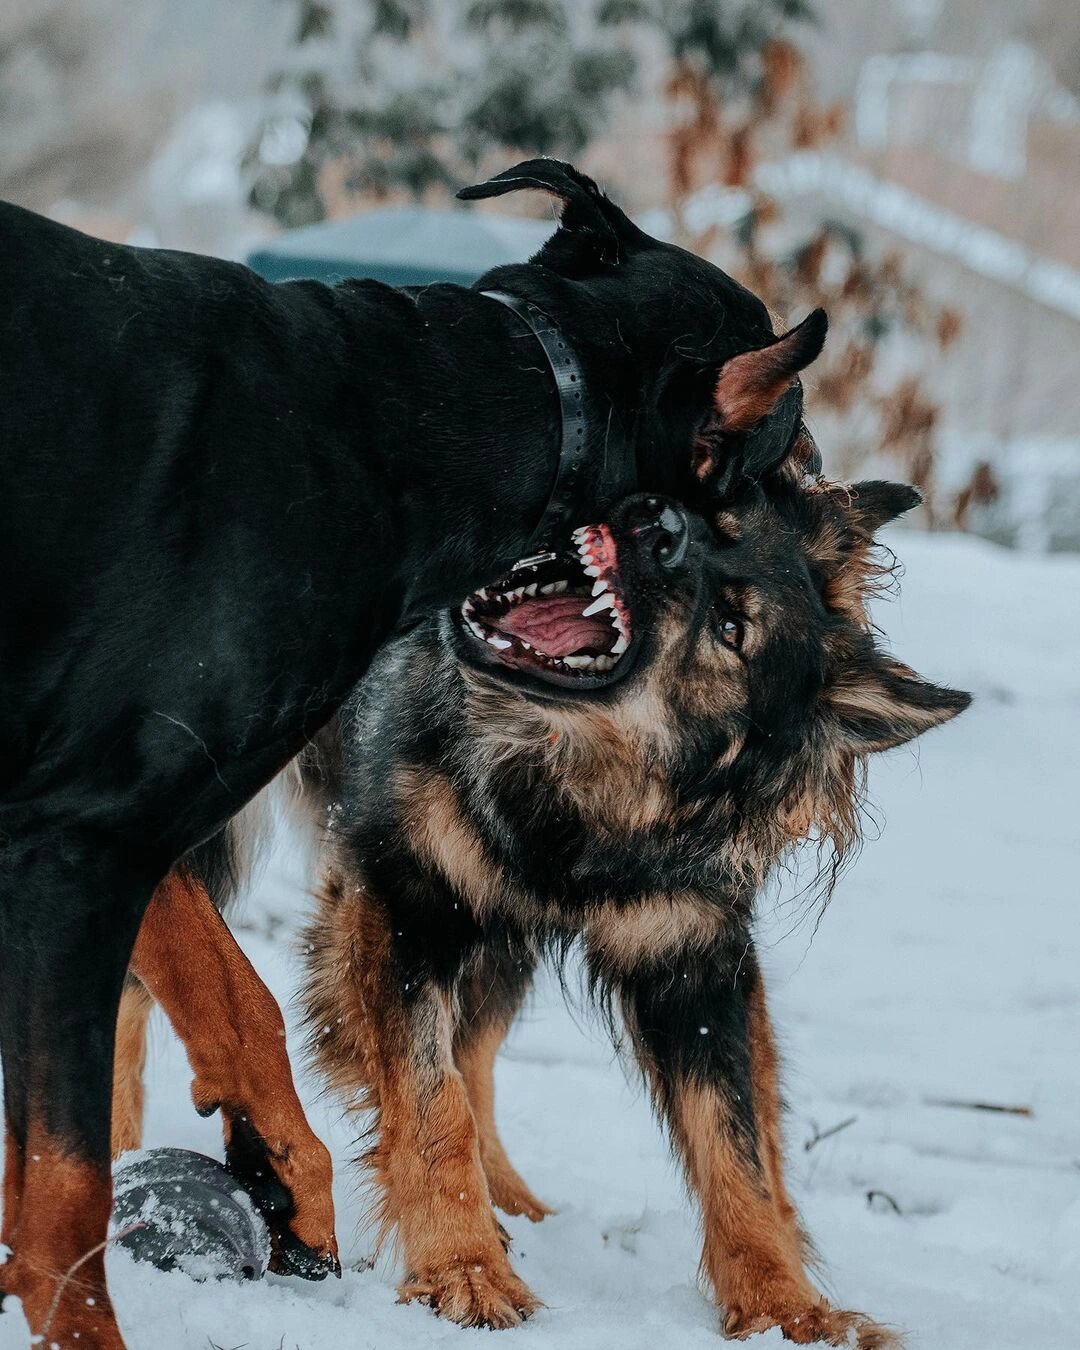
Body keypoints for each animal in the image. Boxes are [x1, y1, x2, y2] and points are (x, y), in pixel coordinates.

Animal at [0, 155, 826, 1339]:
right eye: (792, 448)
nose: (825, 533)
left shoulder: (90, 828)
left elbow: (234, 992)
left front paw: (286, 1167)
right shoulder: (83, 840)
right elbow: (61, 1189)